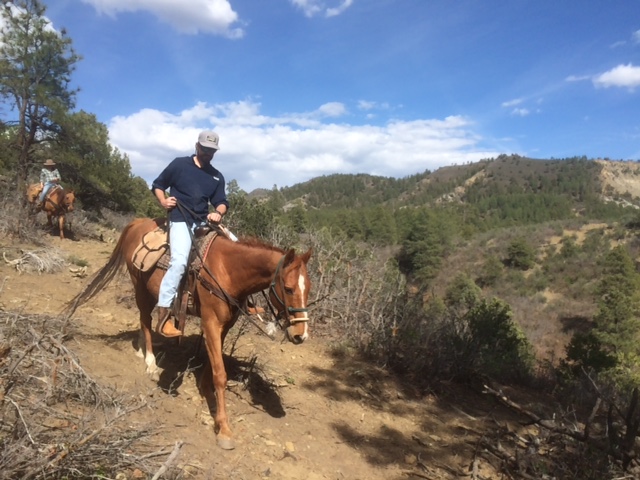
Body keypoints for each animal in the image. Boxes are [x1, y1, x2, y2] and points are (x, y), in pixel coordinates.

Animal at [65, 218, 312, 450]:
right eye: (288, 289)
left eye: (308, 288)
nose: (300, 335)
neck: (227, 270)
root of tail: (139, 222)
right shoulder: (210, 321)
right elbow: (220, 374)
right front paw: (224, 429)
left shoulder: (224, 325)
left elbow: (213, 362)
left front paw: (204, 387)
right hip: (140, 287)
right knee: (145, 319)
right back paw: (150, 362)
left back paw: (140, 349)